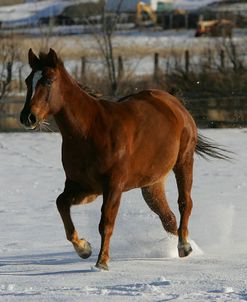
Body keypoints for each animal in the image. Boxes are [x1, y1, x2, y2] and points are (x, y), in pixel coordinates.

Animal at [20, 48, 229, 270]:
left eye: (49, 80)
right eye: (27, 81)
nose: (27, 117)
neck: (89, 130)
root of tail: (174, 103)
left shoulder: (113, 185)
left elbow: (106, 222)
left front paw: (102, 262)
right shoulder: (84, 186)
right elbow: (61, 203)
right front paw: (84, 248)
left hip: (184, 162)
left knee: (184, 203)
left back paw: (185, 246)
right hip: (152, 184)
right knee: (168, 218)